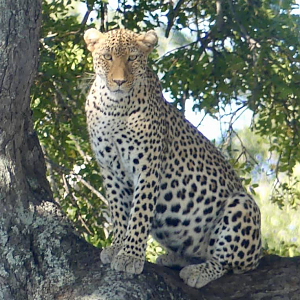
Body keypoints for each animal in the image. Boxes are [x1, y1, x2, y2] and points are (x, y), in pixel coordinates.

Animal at [83, 28, 262, 288]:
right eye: (107, 57)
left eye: (132, 58)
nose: (118, 81)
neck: (113, 108)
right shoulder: (110, 171)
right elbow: (118, 212)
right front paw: (117, 247)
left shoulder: (147, 168)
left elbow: (139, 213)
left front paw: (130, 256)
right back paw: (174, 258)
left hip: (242, 206)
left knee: (226, 262)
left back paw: (198, 271)